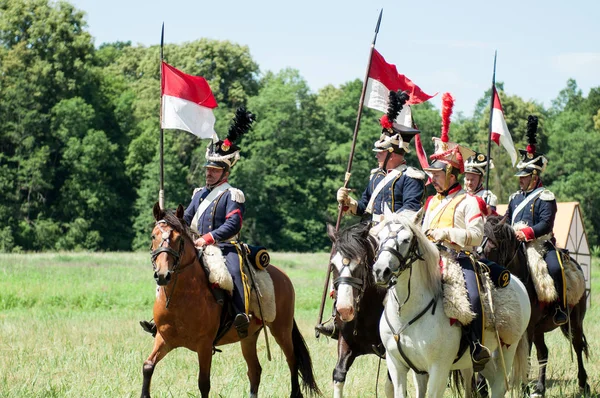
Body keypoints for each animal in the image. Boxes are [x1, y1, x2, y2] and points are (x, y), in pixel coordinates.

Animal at [141, 204, 322, 396]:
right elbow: (148, 366)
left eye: (178, 238)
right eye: (153, 236)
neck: (181, 296)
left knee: (292, 361)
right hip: (249, 337)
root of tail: (283, 276)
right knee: (255, 370)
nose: (163, 275)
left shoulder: (204, 346)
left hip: (281, 329)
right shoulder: (164, 339)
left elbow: (203, 384)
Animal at [372, 213, 532, 398]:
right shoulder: (399, 367)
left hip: (507, 347)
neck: (405, 314)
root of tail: (517, 281)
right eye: (379, 237)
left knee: (499, 385)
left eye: (406, 239)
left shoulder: (439, 369)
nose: (380, 271)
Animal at [482, 216, 592, 396]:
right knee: (543, 353)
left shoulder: (527, 329)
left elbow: (525, 357)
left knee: (577, 347)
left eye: (492, 246)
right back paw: (540, 388)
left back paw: (583, 385)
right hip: (539, 330)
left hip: (575, 322)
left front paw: (524, 389)